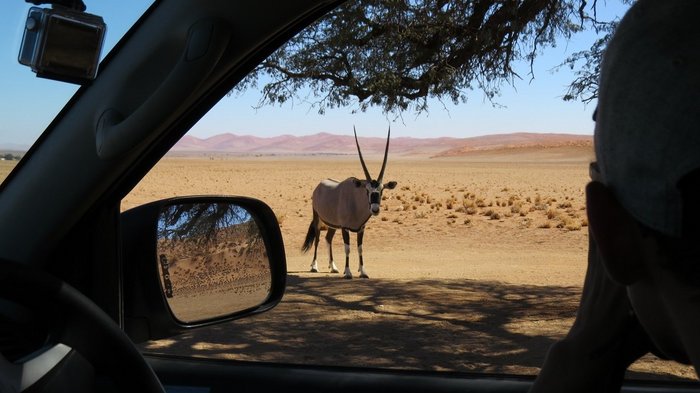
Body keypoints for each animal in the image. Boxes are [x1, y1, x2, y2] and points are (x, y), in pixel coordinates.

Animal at [304, 127, 396, 278]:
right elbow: (347, 248)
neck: (356, 203)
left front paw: (363, 271)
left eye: (382, 190)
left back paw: (333, 267)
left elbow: (360, 248)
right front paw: (347, 272)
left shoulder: (361, 228)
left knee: (328, 239)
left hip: (332, 225)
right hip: (317, 217)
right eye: (367, 190)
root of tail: (319, 186)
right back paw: (314, 266)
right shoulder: (345, 228)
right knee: (317, 239)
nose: (375, 209)